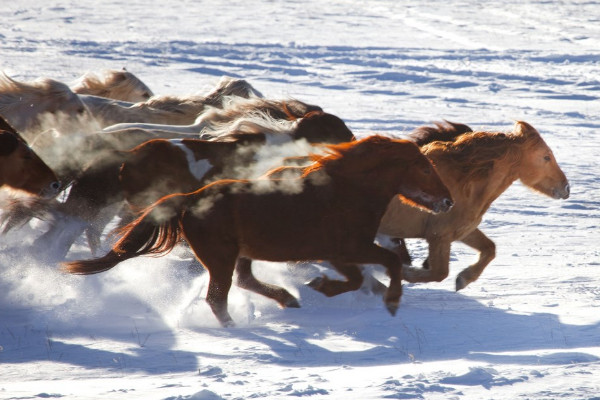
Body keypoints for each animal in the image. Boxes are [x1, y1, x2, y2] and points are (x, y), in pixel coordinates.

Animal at [63, 136, 452, 326]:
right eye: (425, 168)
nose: (447, 201)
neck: (348, 191)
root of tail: (189, 200)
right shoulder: (348, 249)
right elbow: (388, 265)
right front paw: (389, 302)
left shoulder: (341, 253)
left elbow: (364, 276)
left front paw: (321, 286)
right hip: (220, 257)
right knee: (217, 297)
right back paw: (235, 327)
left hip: (240, 253)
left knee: (244, 281)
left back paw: (286, 299)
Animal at [380, 120, 572, 290]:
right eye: (546, 157)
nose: (566, 188)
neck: (463, 183)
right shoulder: (439, 236)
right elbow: (439, 273)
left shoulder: (463, 231)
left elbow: (490, 248)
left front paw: (463, 279)